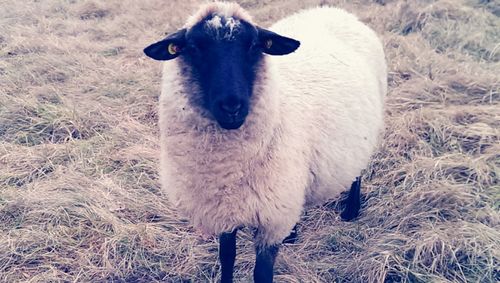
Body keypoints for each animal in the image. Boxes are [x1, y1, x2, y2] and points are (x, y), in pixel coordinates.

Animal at [144, 2, 386, 283]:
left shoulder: (271, 221)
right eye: (194, 47)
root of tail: (333, 10)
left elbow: (262, 273)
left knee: (358, 170)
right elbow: (227, 257)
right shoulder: (225, 208)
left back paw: (350, 210)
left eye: (253, 45)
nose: (232, 107)